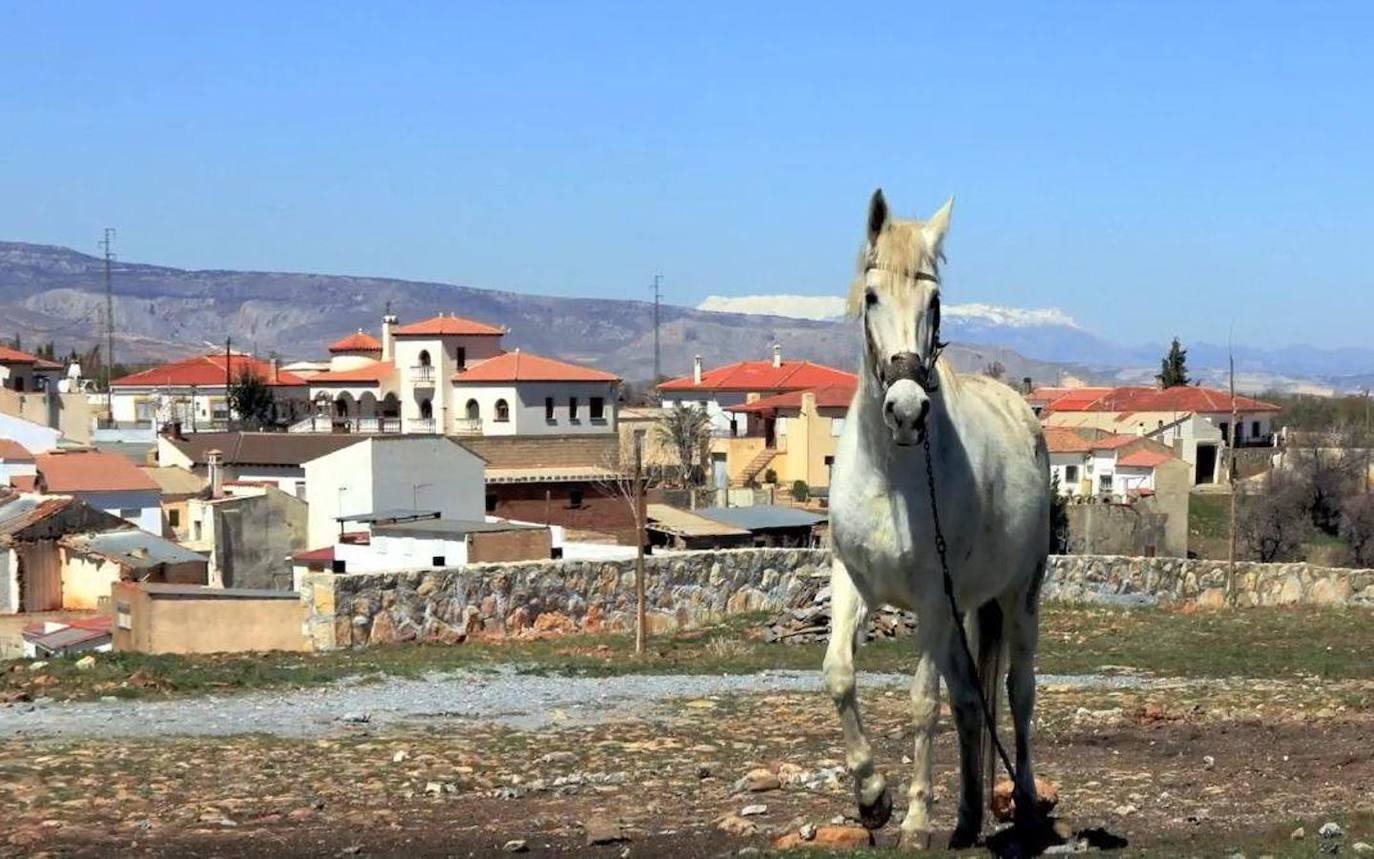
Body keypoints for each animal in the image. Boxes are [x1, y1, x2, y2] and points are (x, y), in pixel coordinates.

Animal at [824, 189, 1049, 846]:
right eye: (872, 296)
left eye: (936, 303)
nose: (906, 410)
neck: (891, 474)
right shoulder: (851, 580)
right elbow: (839, 675)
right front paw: (873, 797)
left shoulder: (928, 599)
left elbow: (922, 703)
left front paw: (916, 819)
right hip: (963, 610)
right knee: (970, 702)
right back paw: (969, 818)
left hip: (1017, 597)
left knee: (1017, 694)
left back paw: (1024, 802)